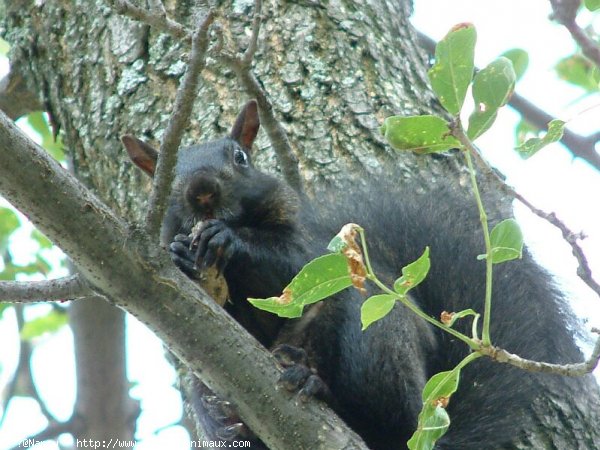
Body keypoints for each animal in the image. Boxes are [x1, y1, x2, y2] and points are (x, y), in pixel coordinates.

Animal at [122, 100, 596, 448]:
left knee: (383, 416)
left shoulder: (312, 255)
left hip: (378, 342)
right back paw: (225, 416)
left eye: (241, 158)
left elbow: (287, 269)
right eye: (164, 172)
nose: (201, 189)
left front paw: (229, 238)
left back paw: (313, 383)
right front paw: (180, 255)